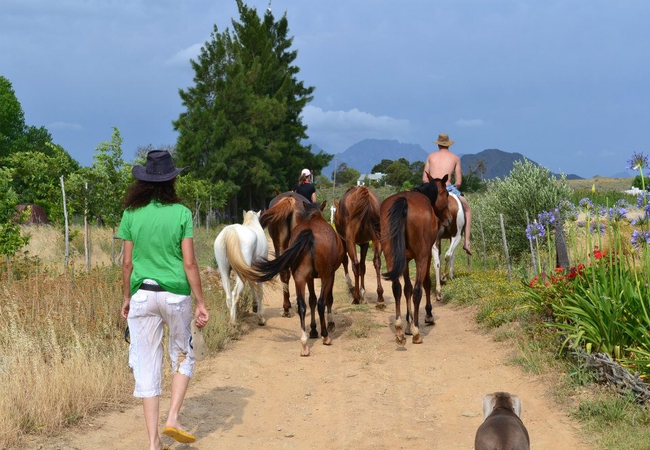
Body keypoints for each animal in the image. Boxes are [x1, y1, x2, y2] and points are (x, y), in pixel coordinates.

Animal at [252, 202, 344, 356]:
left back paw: (304, 343)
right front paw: (329, 324)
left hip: (300, 278)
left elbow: (311, 300)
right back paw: (325, 336)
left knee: (302, 305)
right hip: (325, 275)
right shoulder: (330, 275)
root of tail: (310, 233)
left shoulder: (309, 278)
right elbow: (327, 299)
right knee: (321, 302)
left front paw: (313, 330)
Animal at [378, 174, 448, 346]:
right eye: (446, 194)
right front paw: (427, 316)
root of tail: (404, 202)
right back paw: (417, 332)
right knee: (417, 290)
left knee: (397, 287)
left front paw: (408, 325)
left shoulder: (404, 260)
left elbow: (406, 289)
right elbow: (425, 284)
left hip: (391, 255)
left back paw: (399, 329)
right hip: (421, 256)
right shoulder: (426, 255)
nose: (447, 218)